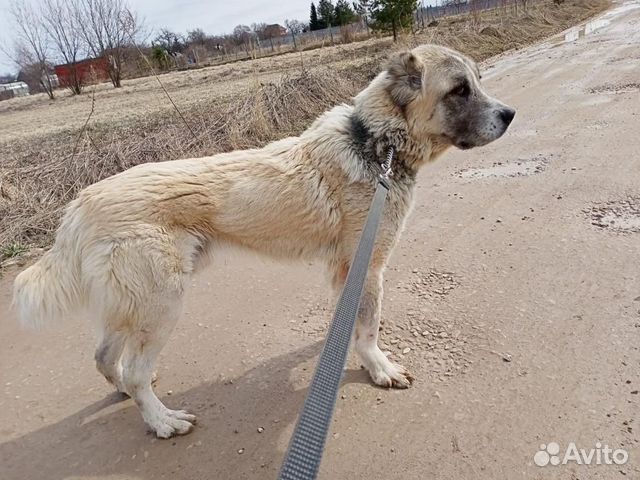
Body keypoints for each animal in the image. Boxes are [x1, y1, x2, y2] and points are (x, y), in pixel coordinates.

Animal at [13, 45, 516, 438]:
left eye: (477, 81)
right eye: (459, 90)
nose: (510, 115)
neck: (376, 144)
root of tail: (80, 203)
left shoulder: (346, 272)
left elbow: (351, 318)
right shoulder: (368, 266)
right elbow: (369, 328)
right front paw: (379, 368)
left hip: (133, 305)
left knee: (105, 356)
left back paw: (123, 390)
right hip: (162, 304)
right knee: (136, 371)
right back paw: (161, 421)